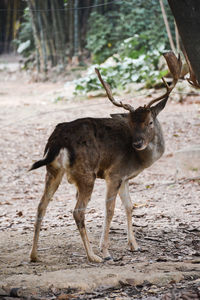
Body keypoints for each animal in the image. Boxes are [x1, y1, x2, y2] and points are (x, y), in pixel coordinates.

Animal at [29, 51, 181, 262]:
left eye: (149, 122)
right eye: (131, 123)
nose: (137, 143)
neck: (139, 161)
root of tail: (57, 140)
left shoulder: (125, 177)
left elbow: (129, 206)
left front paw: (134, 246)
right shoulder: (114, 174)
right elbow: (110, 210)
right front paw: (106, 251)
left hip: (53, 170)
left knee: (41, 205)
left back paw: (34, 255)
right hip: (86, 174)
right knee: (77, 211)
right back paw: (93, 256)